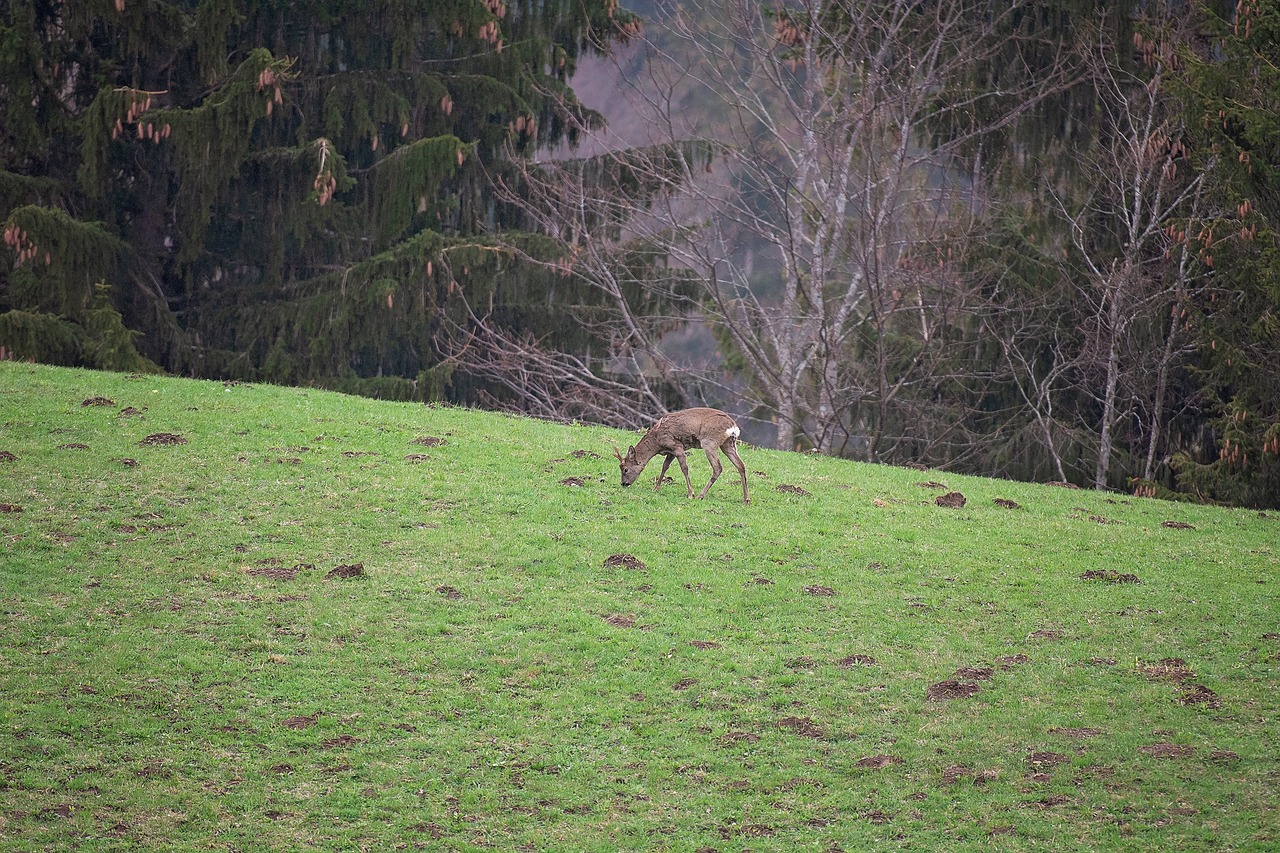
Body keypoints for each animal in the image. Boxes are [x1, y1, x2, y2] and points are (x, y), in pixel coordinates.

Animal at [611, 407, 747, 502]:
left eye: (625, 469)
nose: (624, 483)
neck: (656, 441)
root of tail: (733, 427)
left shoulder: (677, 446)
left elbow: (684, 468)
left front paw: (690, 493)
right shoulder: (670, 452)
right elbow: (664, 467)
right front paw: (656, 488)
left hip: (709, 442)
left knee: (718, 467)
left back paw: (700, 496)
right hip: (728, 444)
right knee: (741, 465)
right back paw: (746, 500)